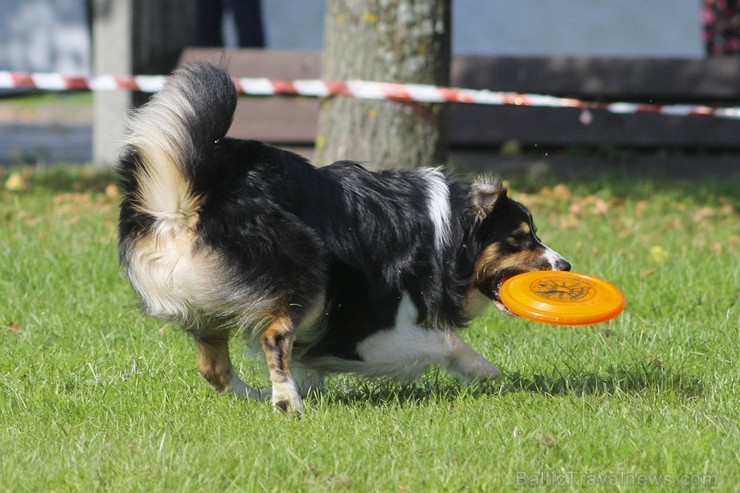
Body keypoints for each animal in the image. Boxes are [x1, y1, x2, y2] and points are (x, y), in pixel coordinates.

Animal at [118, 63, 572, 414]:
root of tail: (185, 203)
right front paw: (488, 374)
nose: (565, 265)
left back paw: (259, 395)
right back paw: (287, 401)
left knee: (214, 369)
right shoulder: (370, 329)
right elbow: (447, 342)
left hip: (209, 308)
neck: (445, 233)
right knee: (273, 337)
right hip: (308, 266)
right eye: (519, 239)